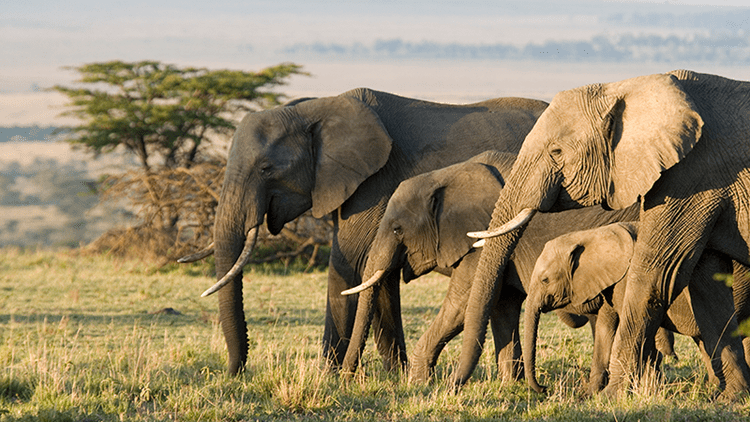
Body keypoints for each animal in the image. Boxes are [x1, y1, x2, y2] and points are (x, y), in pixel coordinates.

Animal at [179, 88, 549, 374]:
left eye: (266, 169)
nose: (235, 372)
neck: (315, 108)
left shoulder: (374, 184)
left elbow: (351, 265)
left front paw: (328, 377)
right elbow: (377, 276)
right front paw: (394, 376)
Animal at [339, 150, 640, 381]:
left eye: (397, 230)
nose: (347, 378)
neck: (447, 175)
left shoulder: (481, 240)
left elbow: (461, 305)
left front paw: (419, 383)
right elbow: (501, 306)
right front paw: (510, 386)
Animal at [523, 222, 750, 396]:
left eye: (545, 280)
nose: (544, 388)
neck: (592, 234)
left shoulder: (627, 278)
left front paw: (645, 391)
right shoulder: (610, 281)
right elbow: (605, 329)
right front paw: (589, 394)